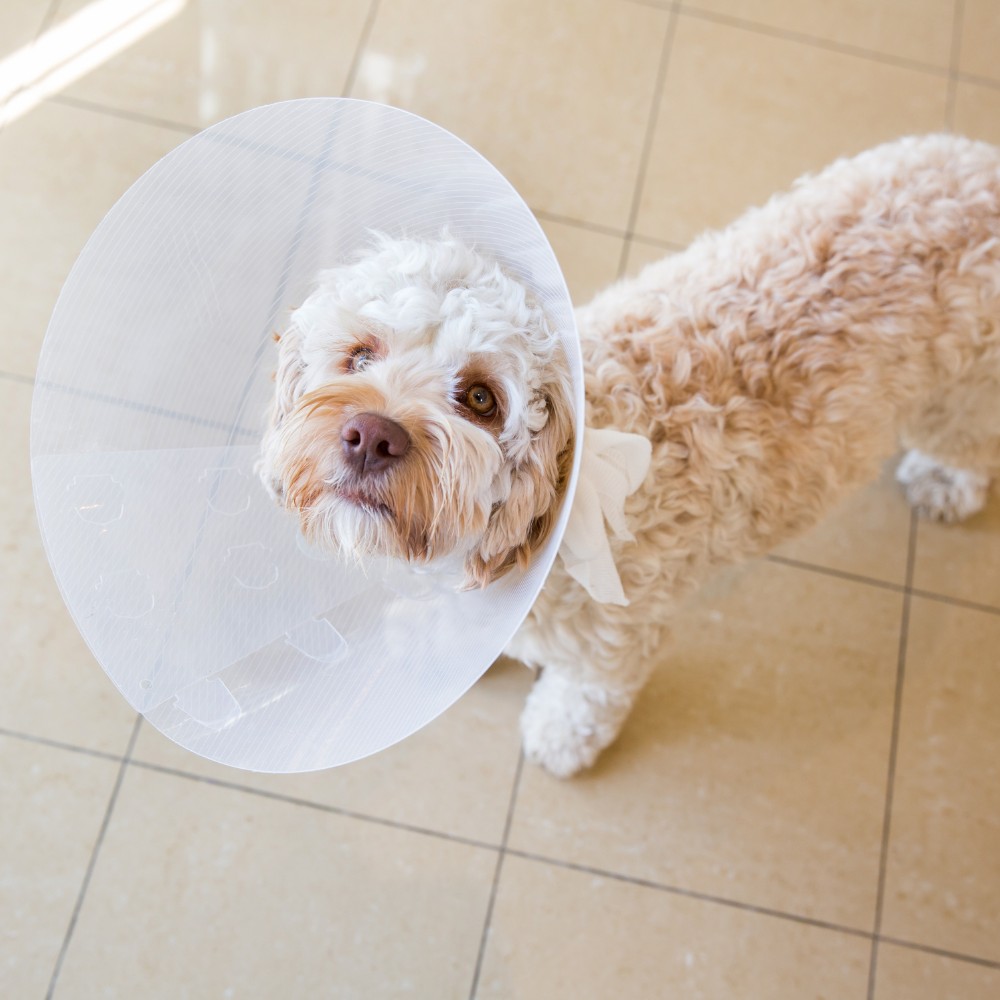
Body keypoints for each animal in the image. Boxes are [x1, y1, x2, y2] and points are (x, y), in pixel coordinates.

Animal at [262, 133, 1000, 776]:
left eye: (480, 398)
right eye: (360, 354)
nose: (370, 434)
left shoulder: (615, 635)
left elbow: (588, 697)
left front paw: (559, 737)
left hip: (961, 400)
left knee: (970, 445)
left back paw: (946, 482)